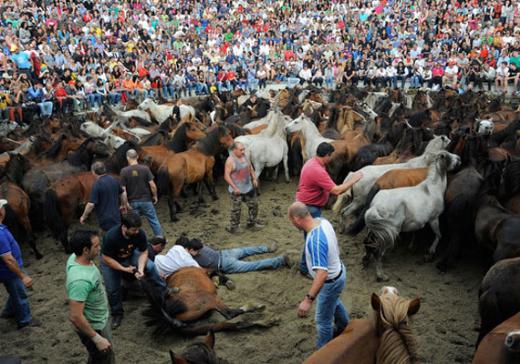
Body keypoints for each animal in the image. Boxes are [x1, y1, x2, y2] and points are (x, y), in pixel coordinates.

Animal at [140, 266, 278, 334]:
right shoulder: (206, 270)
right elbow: (216, 271)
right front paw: (226, 281)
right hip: (210, 299)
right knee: (230, 314)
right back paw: (256, 307)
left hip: (200, 326)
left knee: (234, 325)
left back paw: (268, 321)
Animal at [364, 151, 462, 282]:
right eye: (447, 156)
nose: (459, 159)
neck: (432, 189)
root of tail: (375, 206)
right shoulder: (433, 219)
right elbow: (438, 235)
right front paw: (429, 253)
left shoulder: (418, 222)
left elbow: (416, 233)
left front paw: (412, 248)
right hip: (389, 233)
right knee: (378, 253)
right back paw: (381, 276)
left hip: (377, 229)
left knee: (368, 242)